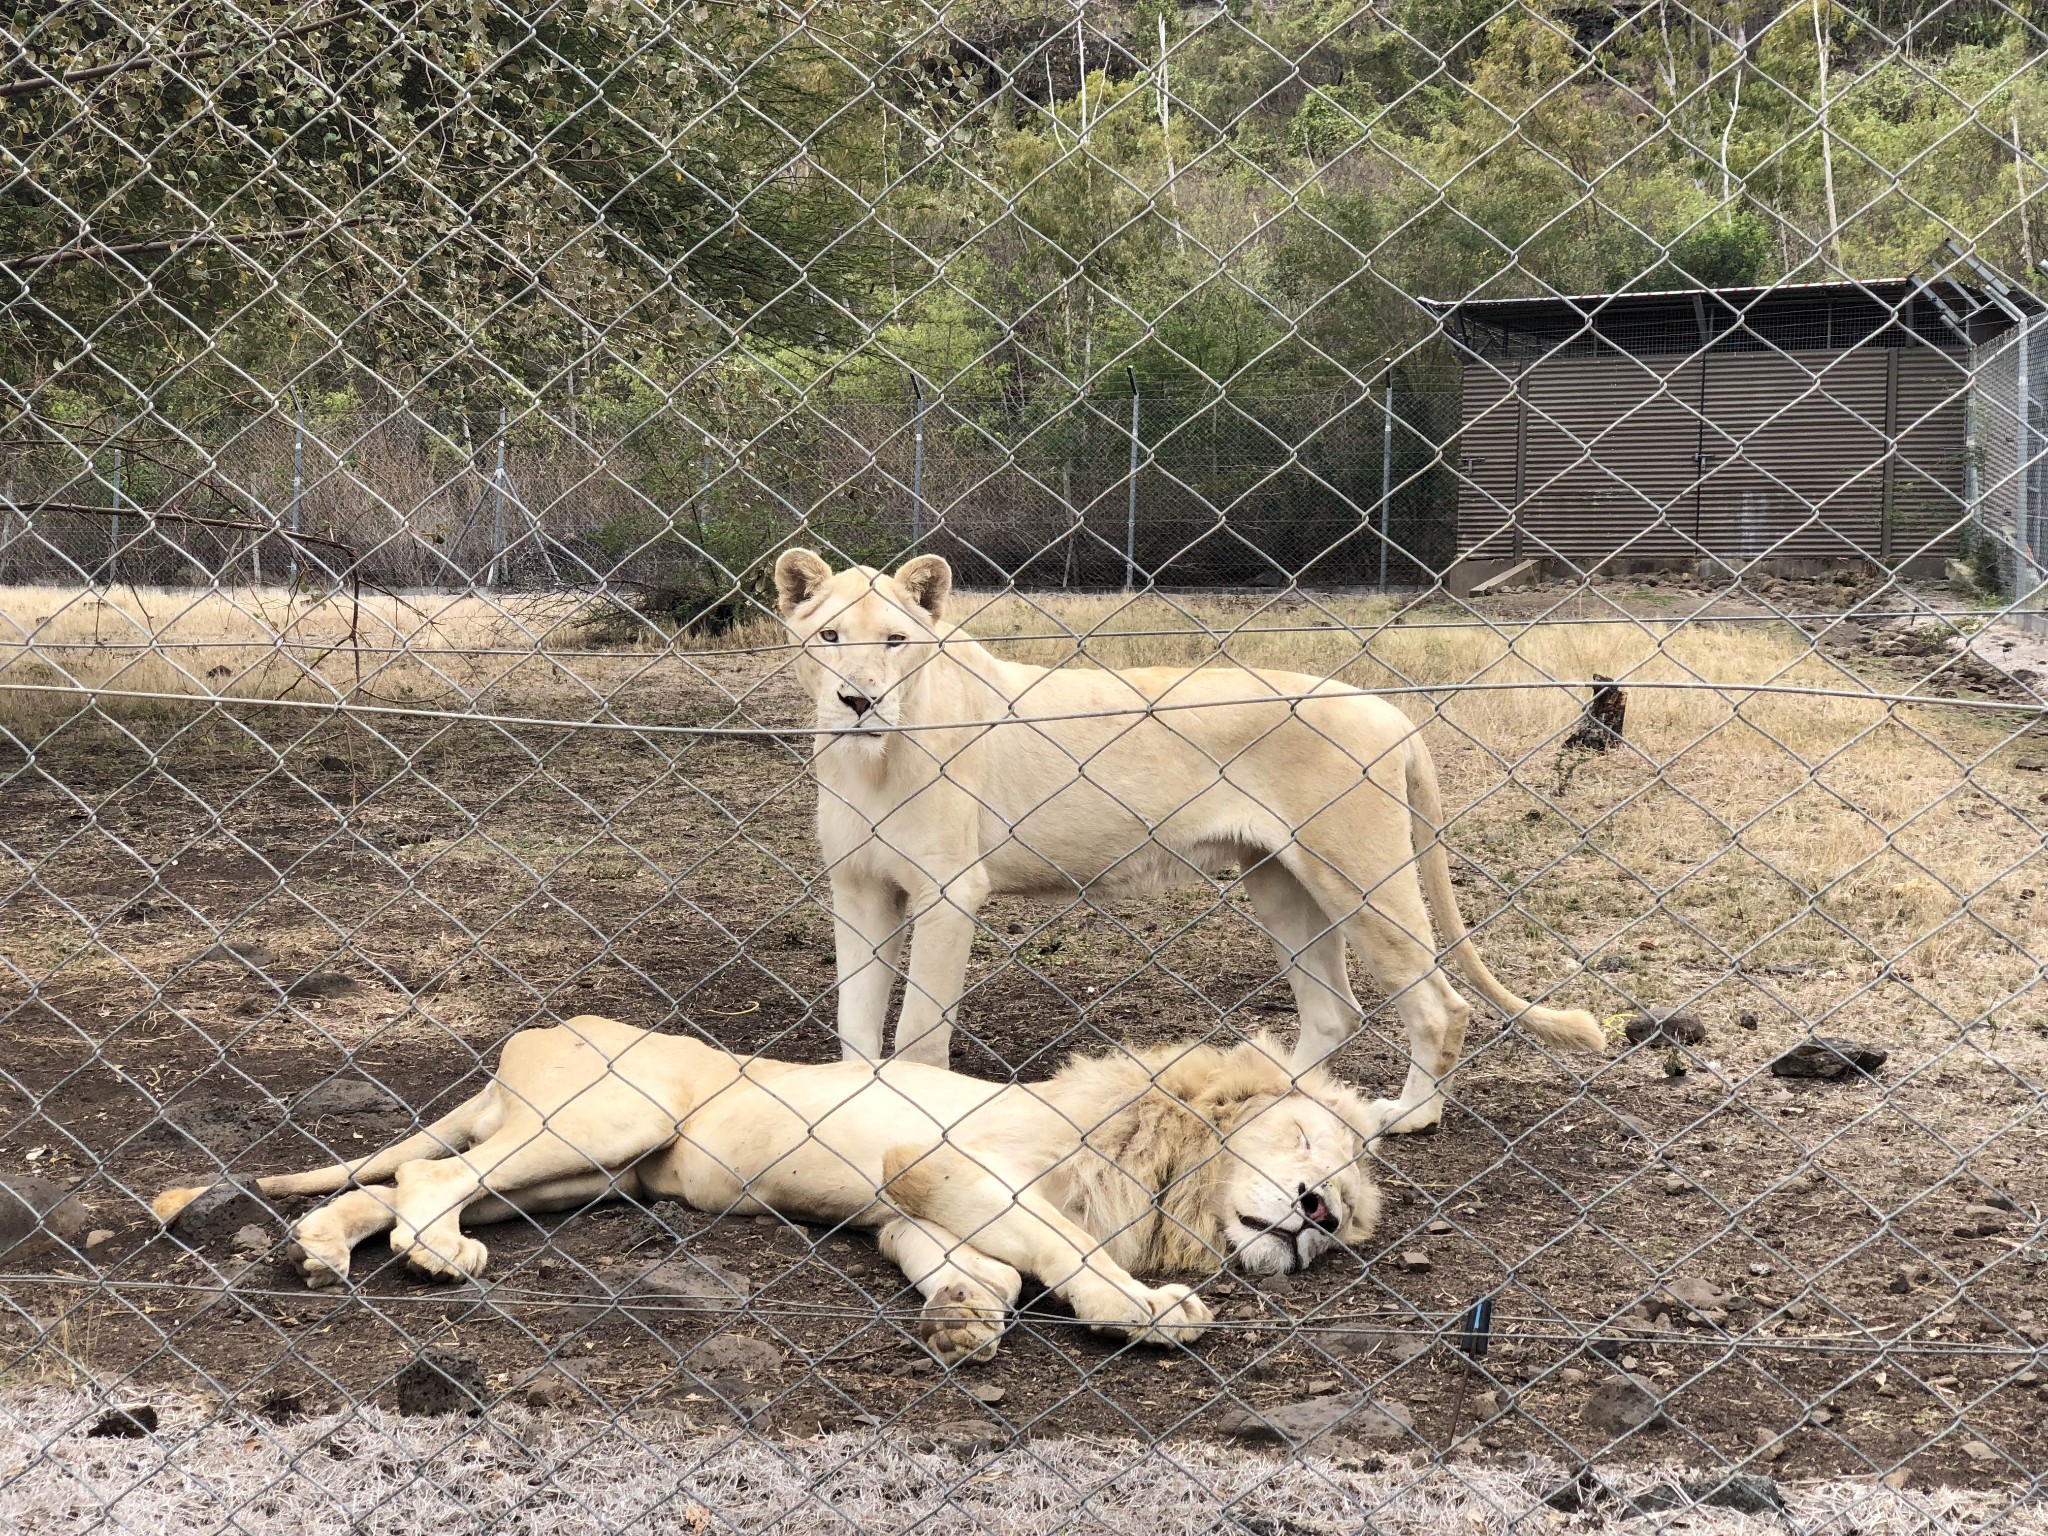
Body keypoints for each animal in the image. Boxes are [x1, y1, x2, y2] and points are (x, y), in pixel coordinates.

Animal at [155, 1024, 1376, 1359]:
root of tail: (529, 1040)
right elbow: (1058, 1246)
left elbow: (964, 1263)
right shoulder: (936, 1161)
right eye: (1306, 1136)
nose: (1318, 1217)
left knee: (399, 1180)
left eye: (1345, 1222)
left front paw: (963, 1316)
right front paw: (1147, 1308)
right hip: (610, 1117)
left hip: (590, 1172)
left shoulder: (908, 1206)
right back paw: (432, 1253)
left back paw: (320, 1249)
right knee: (426, 1172)